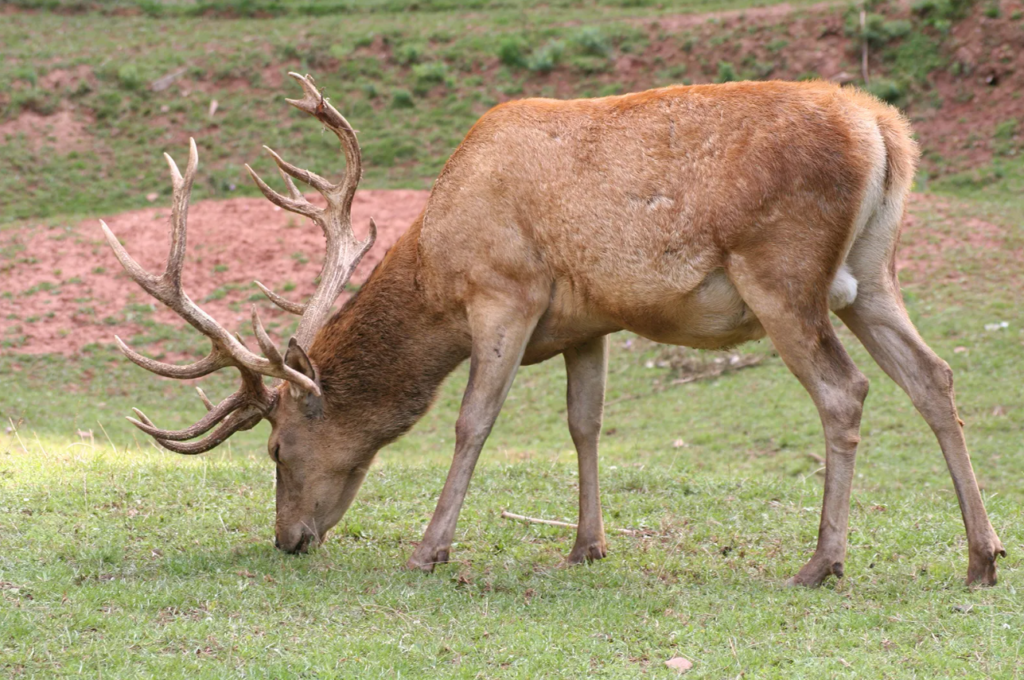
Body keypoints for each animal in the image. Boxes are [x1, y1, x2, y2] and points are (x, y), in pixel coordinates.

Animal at [101, 72, 1004, 587]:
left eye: (276, 447)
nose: (290, 541)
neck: (438, 262)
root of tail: (885, 130)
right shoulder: (586, 323)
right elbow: (585, 424)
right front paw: (585, 546)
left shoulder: (507, 290)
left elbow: (472, 421)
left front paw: (431, 549)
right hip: (872, 276)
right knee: (935, 377)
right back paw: (981, 557)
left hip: (781, 271)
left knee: (845, 392)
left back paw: (822, 561)